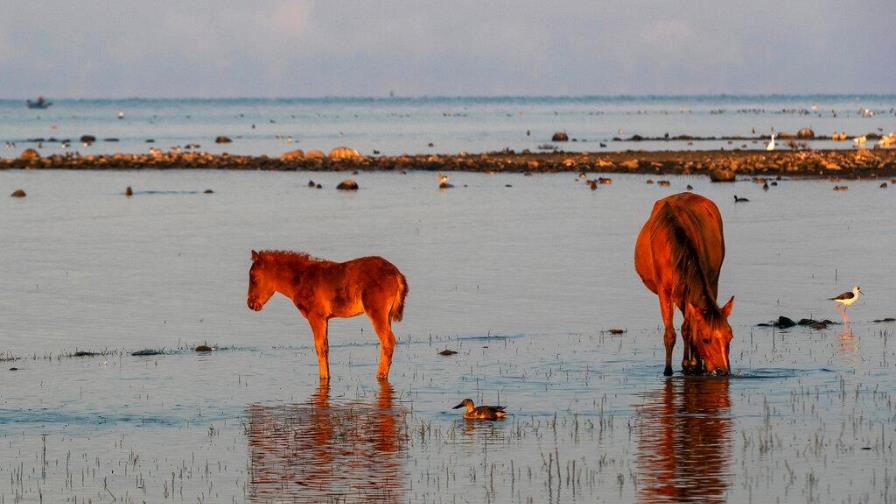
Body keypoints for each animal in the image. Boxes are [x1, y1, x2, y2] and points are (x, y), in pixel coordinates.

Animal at [248, 250, 410, 380]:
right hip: (387, 315)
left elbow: (320, 347)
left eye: (254, 278)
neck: (301, 279)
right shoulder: (325, 319)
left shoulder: (316, 316)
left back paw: (380, 375)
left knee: (387, 340)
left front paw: (324, 377)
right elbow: (326, 346)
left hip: (376, 311)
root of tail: (396, 273)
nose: (251, 303)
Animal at [632, 192, 732, 374]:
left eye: (730, 337)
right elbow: (670, 333)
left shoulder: (689, 289)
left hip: (711, 281)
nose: (722, 371)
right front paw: (668, 370)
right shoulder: (664, 290)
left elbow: (688, 327)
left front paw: (692, 363)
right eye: (705, 339)